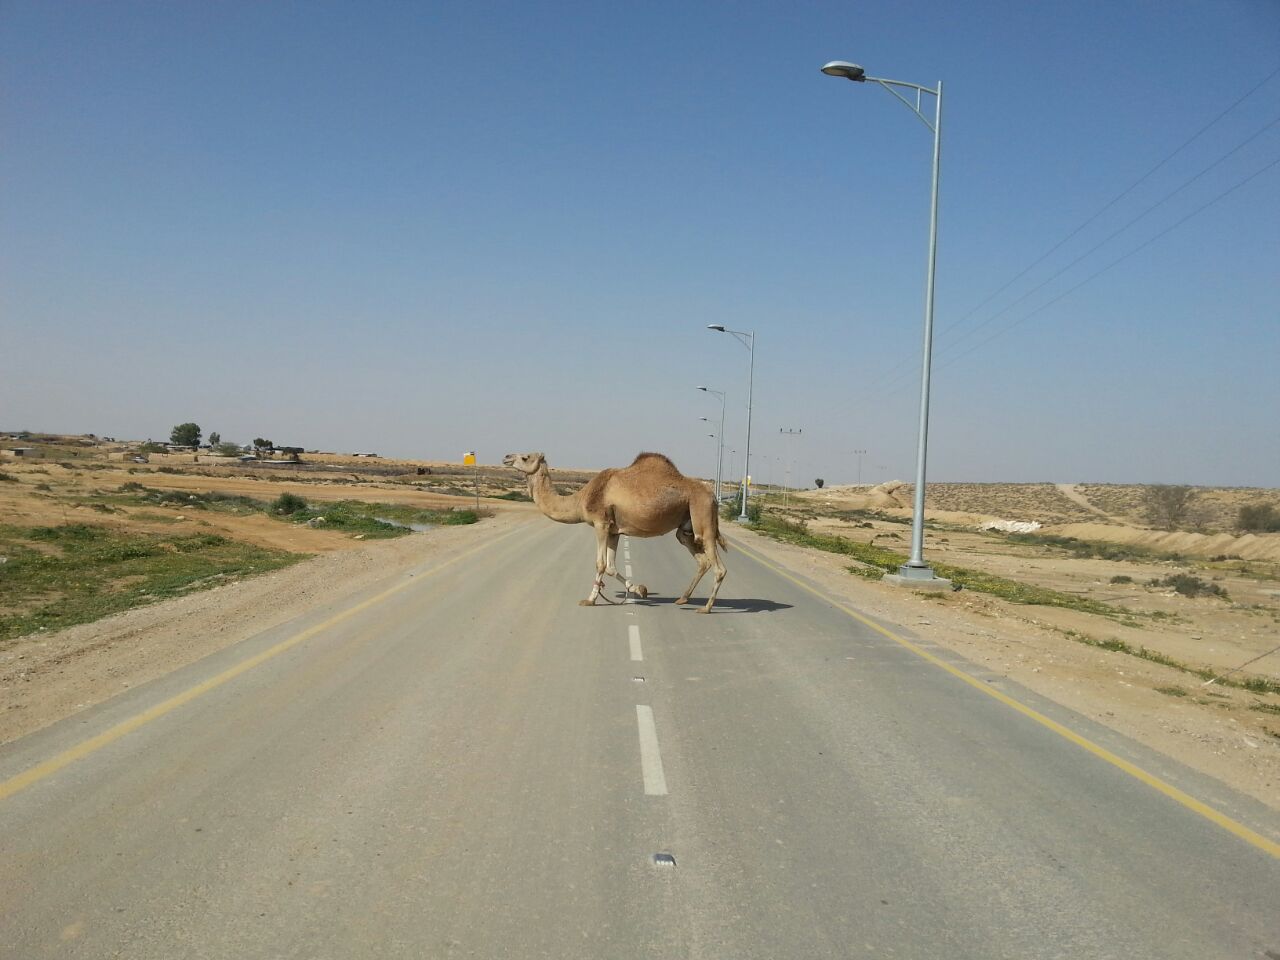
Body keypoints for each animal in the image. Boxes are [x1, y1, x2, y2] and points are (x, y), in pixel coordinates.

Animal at [504, 453, 737, 616]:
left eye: (525, 457)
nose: (506, 457)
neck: (581, 498)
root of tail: (713, 496)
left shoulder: (600, 523)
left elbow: (600, 564)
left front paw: (590, 600)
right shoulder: (614, 530)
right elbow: (610, 566)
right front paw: (640, 589)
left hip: (702, 514)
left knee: (719, 566)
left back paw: (706, 608)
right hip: (685, 526)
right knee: (701, 558)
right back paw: (682, 599)